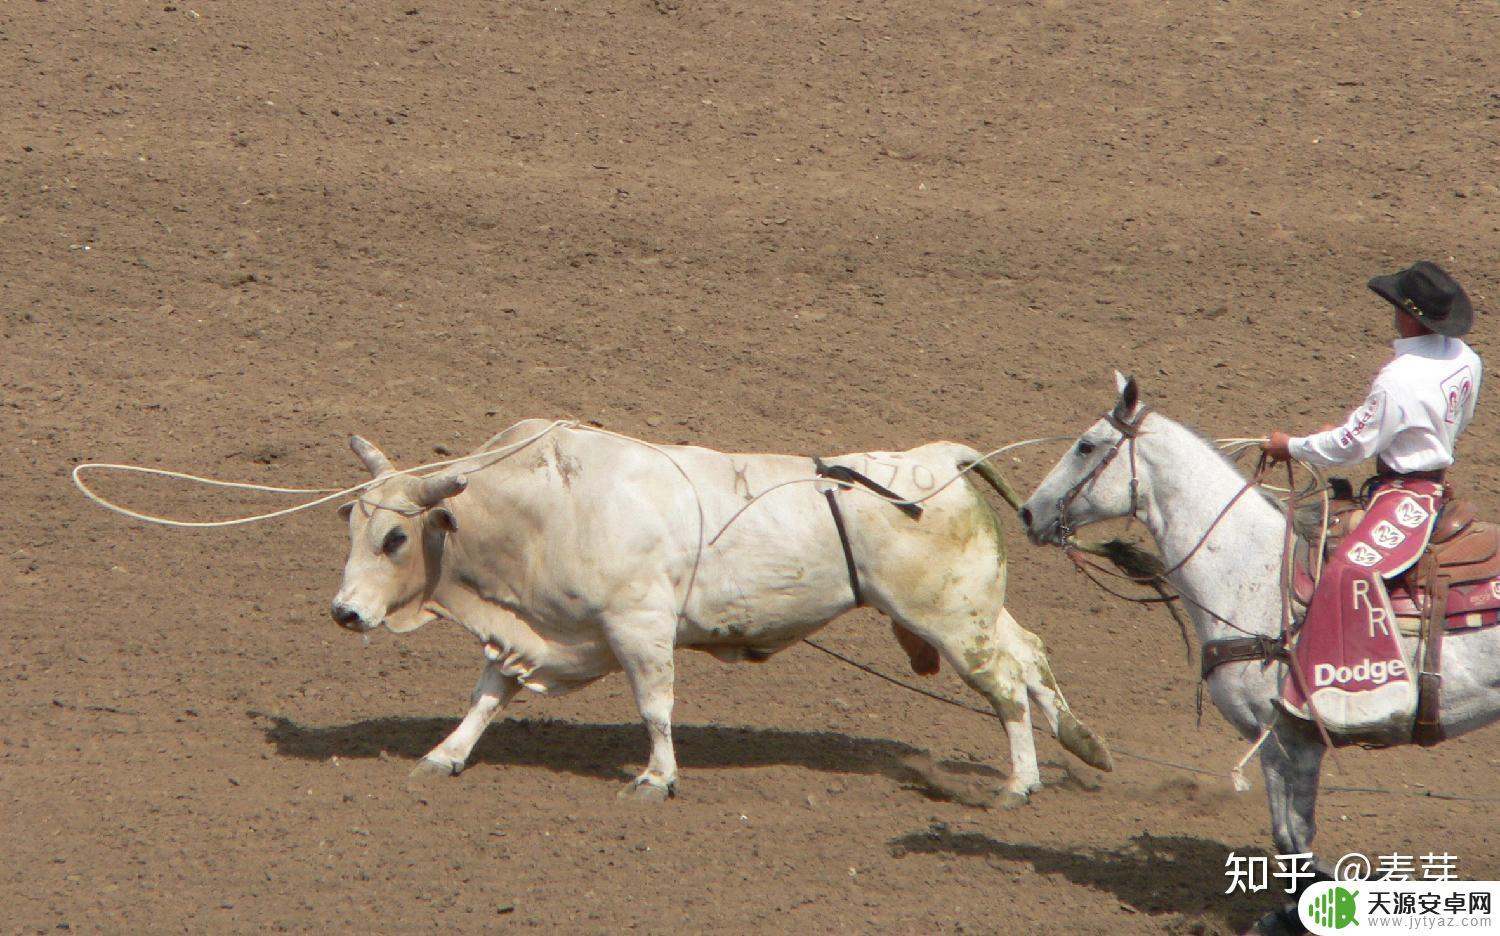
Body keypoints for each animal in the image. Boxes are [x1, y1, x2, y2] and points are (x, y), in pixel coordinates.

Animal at [331, 420, 1116, 798]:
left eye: (395, 536)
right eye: (352, 524)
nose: (344, 613)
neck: (548, 507)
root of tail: (939, 458)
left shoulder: (638, 628)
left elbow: (655, 707)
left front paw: (657, 778)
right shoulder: (538, 630)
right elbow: (488, 695)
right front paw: (445, 755)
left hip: (951, 622)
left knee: (1005, 686)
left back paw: (1019, 783)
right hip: (976, 609)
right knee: (1030, 654)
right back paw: (1083, 746)